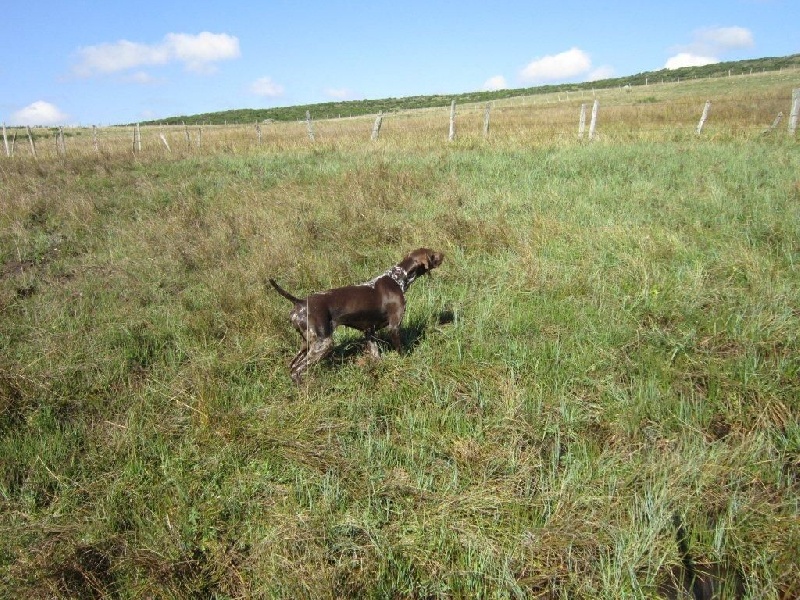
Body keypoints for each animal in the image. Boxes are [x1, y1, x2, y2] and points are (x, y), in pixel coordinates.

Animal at [268, 246, 444, 382]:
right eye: (433, 254)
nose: (443, 254)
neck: (397, 279)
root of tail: (299, 302)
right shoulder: (394, 327)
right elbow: (401, 351)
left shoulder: (369, 333)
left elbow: (376, 355)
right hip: (323, 343)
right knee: (296, 369)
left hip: (307, 344)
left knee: (292, 365)